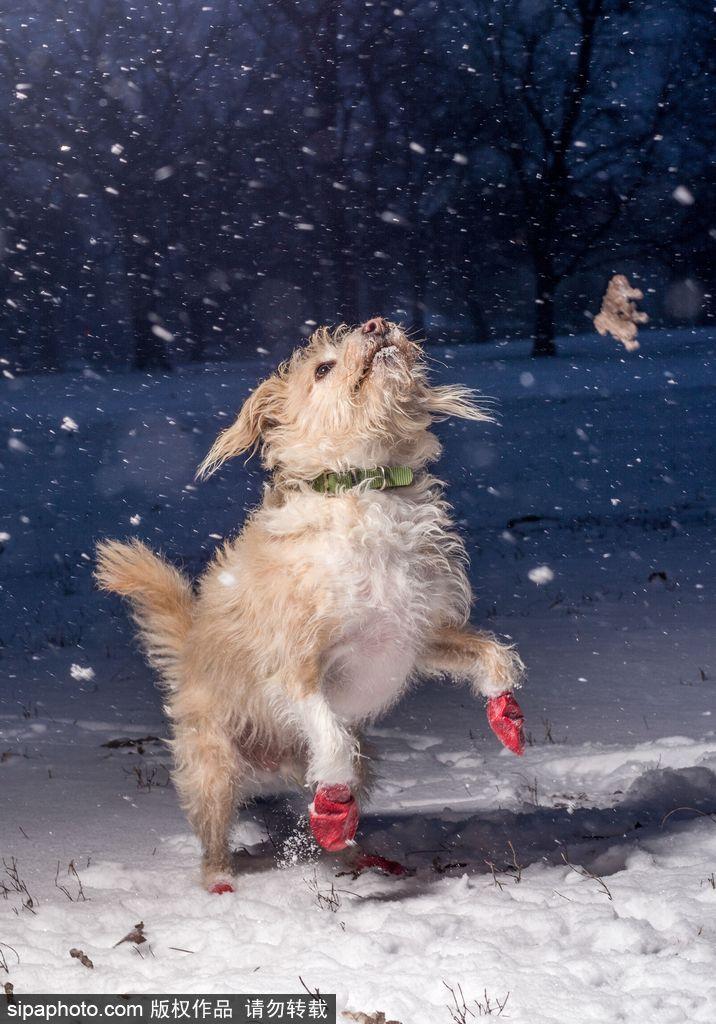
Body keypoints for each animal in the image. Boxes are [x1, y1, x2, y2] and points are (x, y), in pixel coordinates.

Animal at [95, 317, 524, 888]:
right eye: (322, 369)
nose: (376, 323)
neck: (365, 487)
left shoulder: (419, 636)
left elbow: (492, 654)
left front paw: (506, 713)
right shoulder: (295, 668)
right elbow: (332, 737)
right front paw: (332, 809)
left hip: (351, 762)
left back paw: (356, 854)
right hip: (213, 766)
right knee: (218, 833)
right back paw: (224, 878)